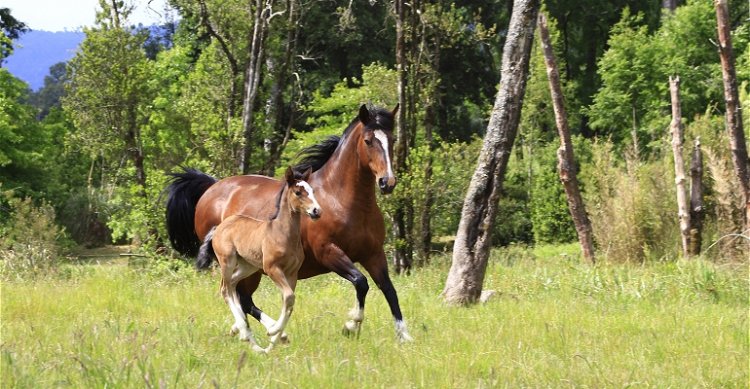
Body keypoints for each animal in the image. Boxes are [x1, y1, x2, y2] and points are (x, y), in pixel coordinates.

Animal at [166, 104, 418, 342]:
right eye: (368, 141)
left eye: (393, 140)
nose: (387, 182)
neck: (342, 200)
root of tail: (211, 188)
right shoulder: (328, 253)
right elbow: (361, 281)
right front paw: (351, 324)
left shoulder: (373, 254)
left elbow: (389, 289)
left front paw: (404, 336)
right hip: (239, 264)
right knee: (240, 297)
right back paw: (272, 331)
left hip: (250, 266)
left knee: (242, 298)